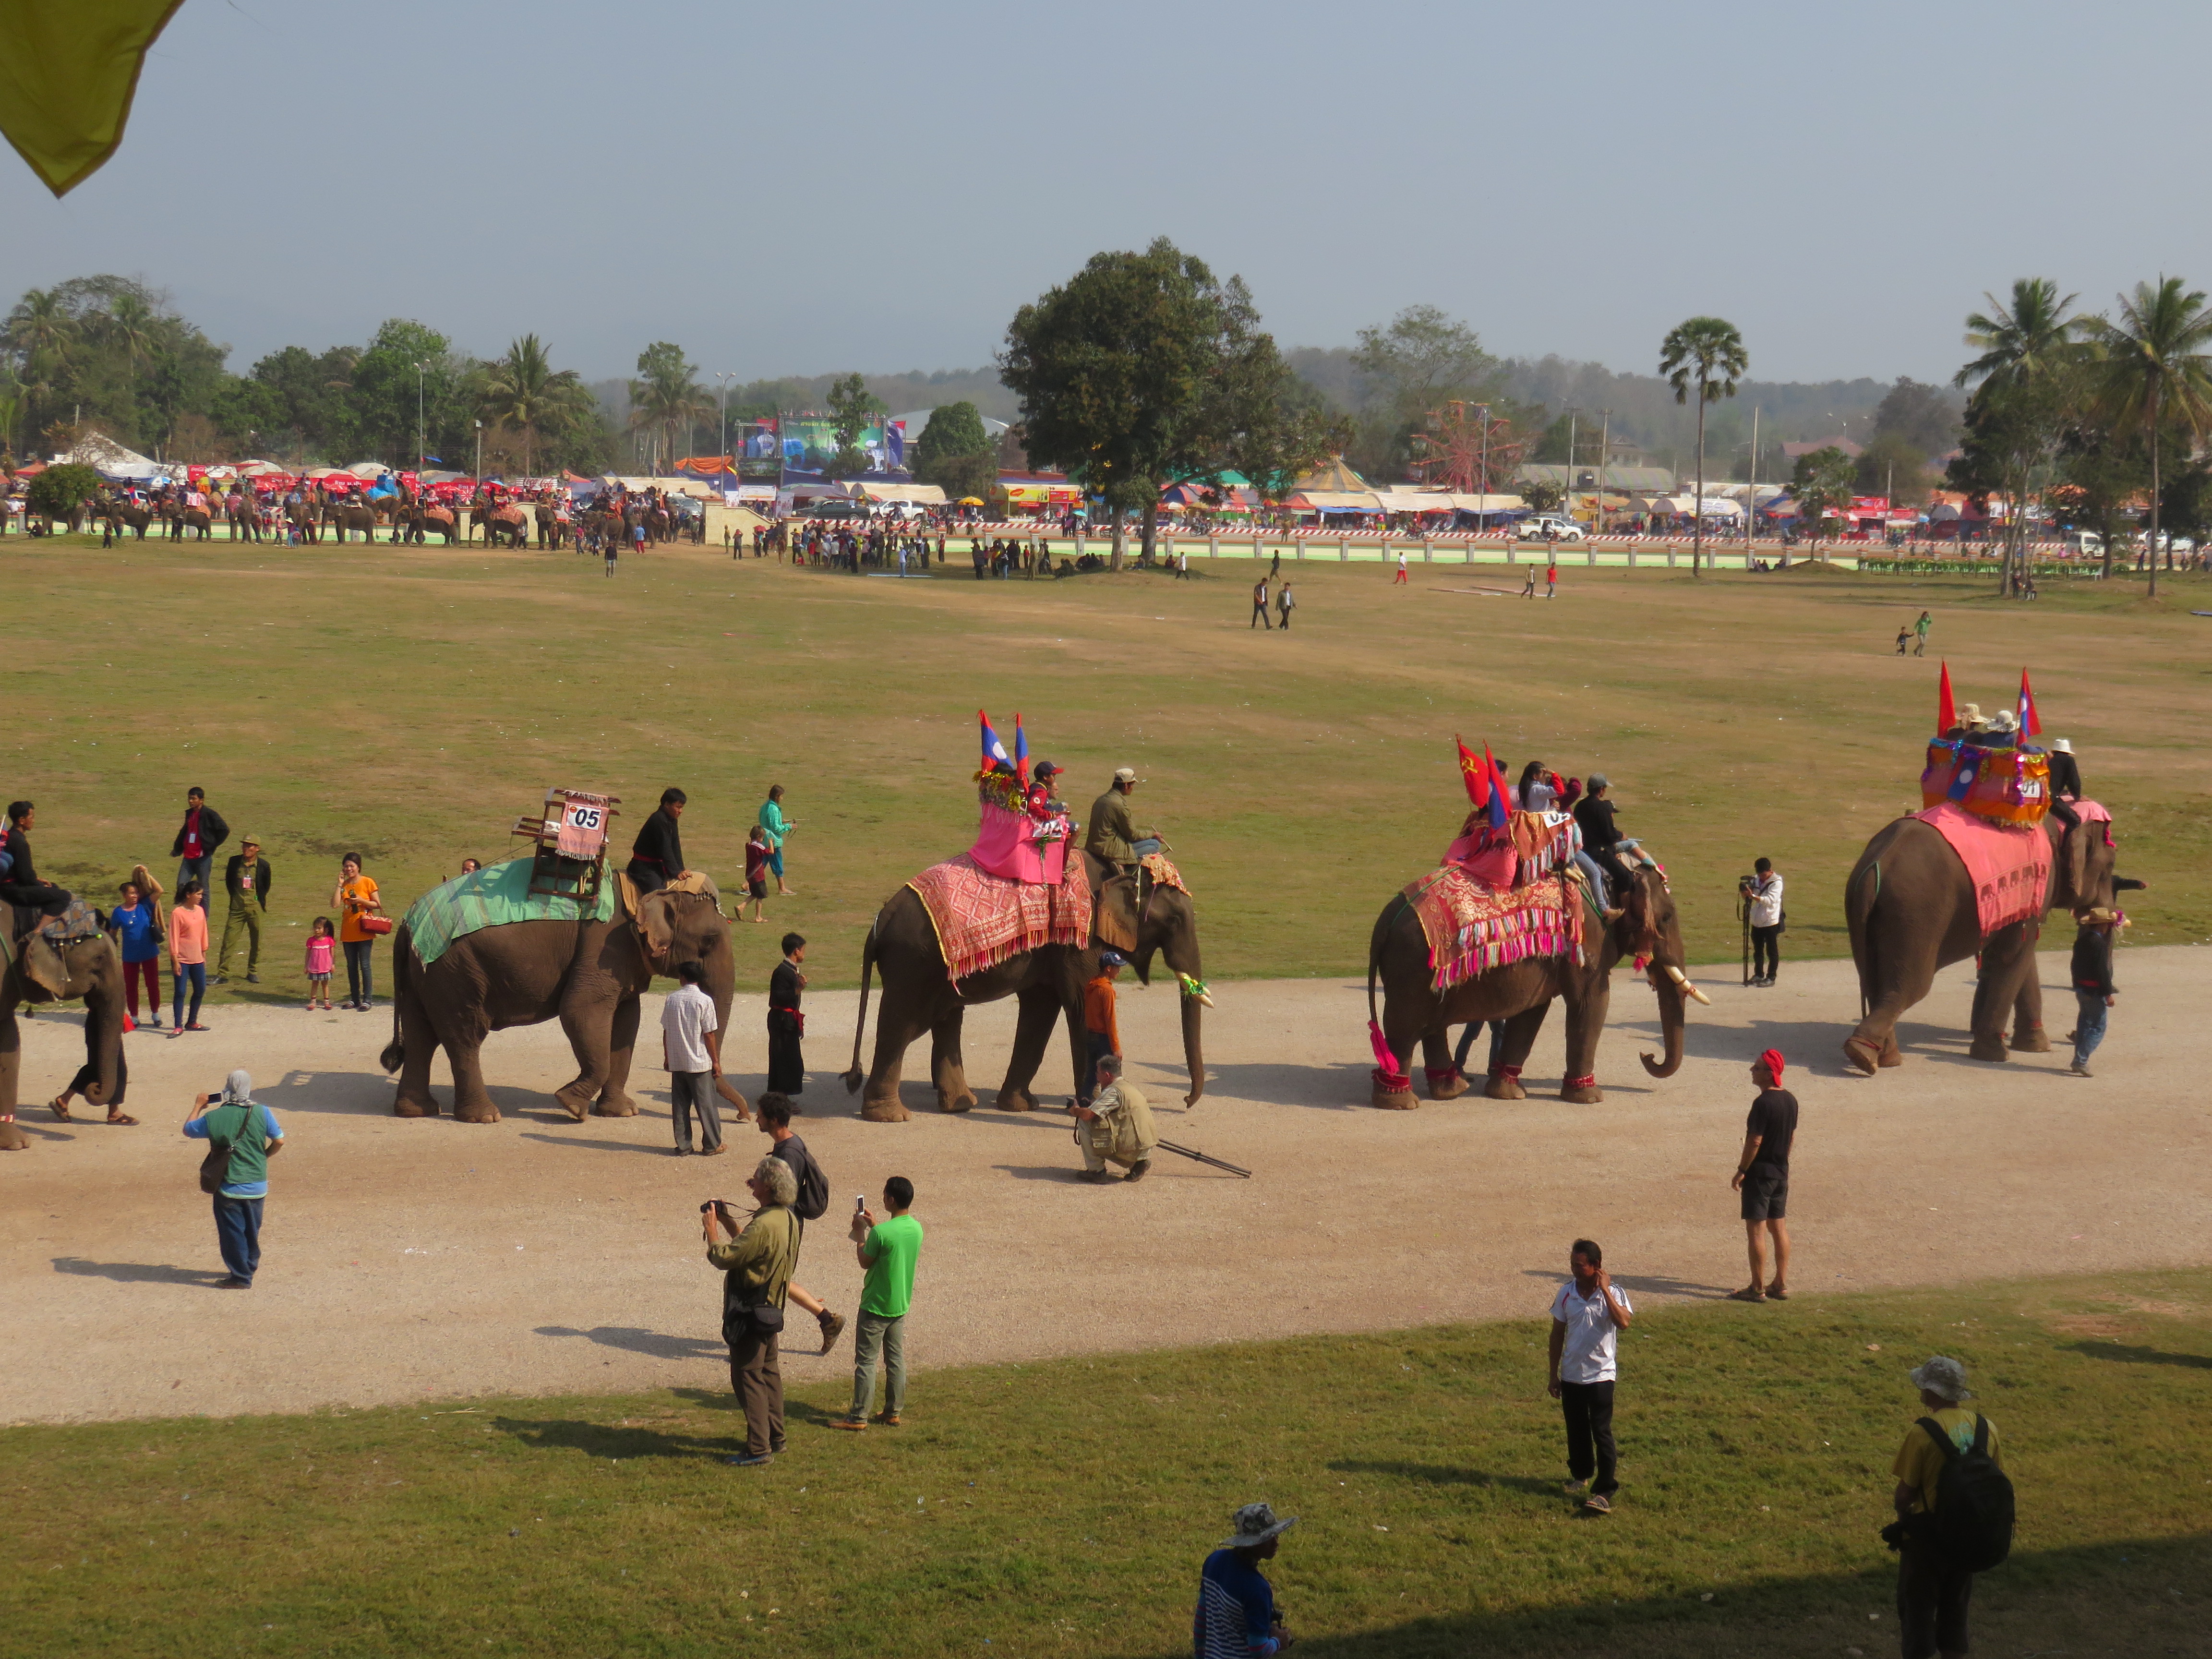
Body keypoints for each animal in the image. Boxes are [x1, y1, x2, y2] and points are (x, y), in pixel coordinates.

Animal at [380, 881, 736, 1123]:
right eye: (709, 940)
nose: (741, 1118)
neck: (644, 895)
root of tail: (407, 924)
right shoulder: (604, 948)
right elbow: (579, 1011)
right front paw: (571, 1107)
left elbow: (626, 1024)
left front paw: (622, 1112)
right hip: (457, 972)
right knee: (464, 1035)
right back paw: (484, 1117)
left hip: (426, 976)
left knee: (420, 1035)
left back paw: (416, 1111)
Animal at [841, 852, 1207, 1123]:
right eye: (1175, 920)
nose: (1186, 1101)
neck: (1119, 869)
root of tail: (881, 920)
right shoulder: (1080, 942)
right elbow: (1079, 1007)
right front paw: (1090, 1106)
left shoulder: (1051, 950)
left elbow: (1040, 1011)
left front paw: (1021, 1106)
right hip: (912, 965)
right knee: (901, 1025)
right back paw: (890, 1116)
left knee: (946, 1018)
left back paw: (961, 1104)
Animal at [1365, 865, 1701, 1109]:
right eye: (1667, 917)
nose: (1647, 1055)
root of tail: (1383, 922)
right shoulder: (1588, 938)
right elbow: (1591, 1003)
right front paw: (1590, 1099)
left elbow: (1532, 1012)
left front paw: (1509, 1094)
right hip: (1411, 967)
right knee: (1405, 1027)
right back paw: (1401, 1102)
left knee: (1431, 1025)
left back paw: (1451, 1090)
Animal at [1840, 808, 2120, 1074]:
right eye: (2111, 865)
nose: (2110, 916)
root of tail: (1876, 865)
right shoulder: (2037, 885)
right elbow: (2014, 956)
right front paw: (1996, 1056)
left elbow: (2019, 958)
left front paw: (2036, 1047)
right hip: (1915, 915)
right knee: (1909, 988)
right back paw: (1864, 1056)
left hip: (1868, 912)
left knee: (1875, 983)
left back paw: (1884, 1059)